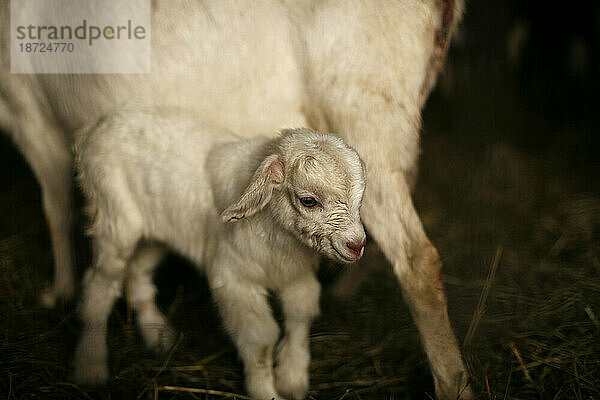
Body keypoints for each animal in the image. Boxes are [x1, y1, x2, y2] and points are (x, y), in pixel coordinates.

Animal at [2, 1, 476, 398]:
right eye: (308, 200)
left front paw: (57, 290)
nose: (351, 244)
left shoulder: (26, 109)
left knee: (417, 259)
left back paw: (453, 383)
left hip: (365, 112)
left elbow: (55, 205)